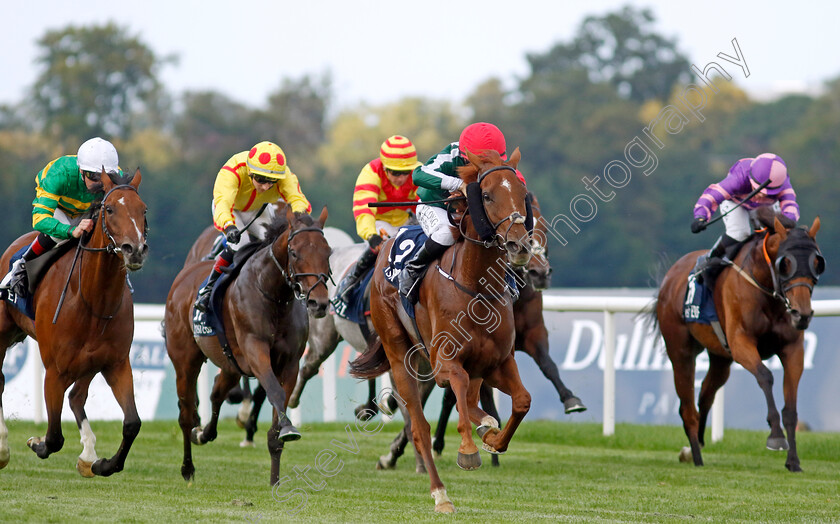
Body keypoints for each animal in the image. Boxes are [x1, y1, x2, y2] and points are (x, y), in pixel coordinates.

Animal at [0, 170, 148, 476]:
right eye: (109, 208)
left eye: (144, 210)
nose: (135, 250)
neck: (92, 299)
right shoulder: (54, 372)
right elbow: (54, 437)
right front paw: (36, 442)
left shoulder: (116, 363)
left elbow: (132, 423)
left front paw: (103, 464)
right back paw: (3, 449)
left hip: (89, 362)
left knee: (77, 396)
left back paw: (88, 453)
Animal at [164, 207, 332, 486]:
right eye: (295, 252)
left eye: (328, 252)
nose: (318, 303)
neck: (274, 295)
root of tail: (183, 276)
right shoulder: (256, 352)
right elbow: (274, 391)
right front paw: (288, 428)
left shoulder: (290, 363)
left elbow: (276, 414)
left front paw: (275, 480)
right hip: (185, 361)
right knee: (186, 414)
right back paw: (188, 467)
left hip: (230, 364)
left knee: (216, 393)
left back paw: (205, 433)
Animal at [352, 149, 536, 512]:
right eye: (487, 195)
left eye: (522, 194)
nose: (519, 245)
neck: (476, 286)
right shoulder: (444, 363)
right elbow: (458, 387)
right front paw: (468, 451)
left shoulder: (497, 362)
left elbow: (522, 400)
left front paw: (493, 439)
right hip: (400, 357)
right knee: (419, 427)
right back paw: (440, 494)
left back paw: (484, 427)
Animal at [652, 211, 824, 472]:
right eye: (785, 263)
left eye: (817, 263)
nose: (801, 314)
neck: (766, 292)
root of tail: (670, 276)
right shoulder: (741, 343)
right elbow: (765, 376)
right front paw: (776, 436)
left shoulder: (793, 350)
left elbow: (791, 408)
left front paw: (793, 461)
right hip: (679, 351)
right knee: (687, 407)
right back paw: (696, 456)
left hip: (720, 359)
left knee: (705, 394)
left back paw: (696, 446)